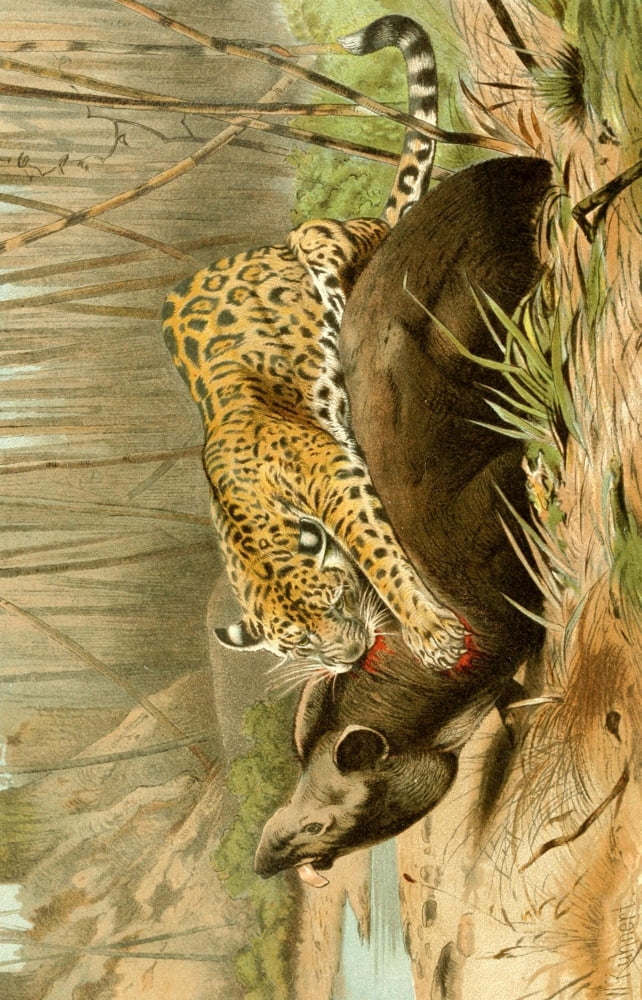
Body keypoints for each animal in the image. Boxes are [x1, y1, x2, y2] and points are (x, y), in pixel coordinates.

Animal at [162, 15, 467, 678]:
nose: (349, 656)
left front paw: (430, 631)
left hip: (319, 238)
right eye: (298, 642)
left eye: (333, 601)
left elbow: (378, 554)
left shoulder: (337, 481)